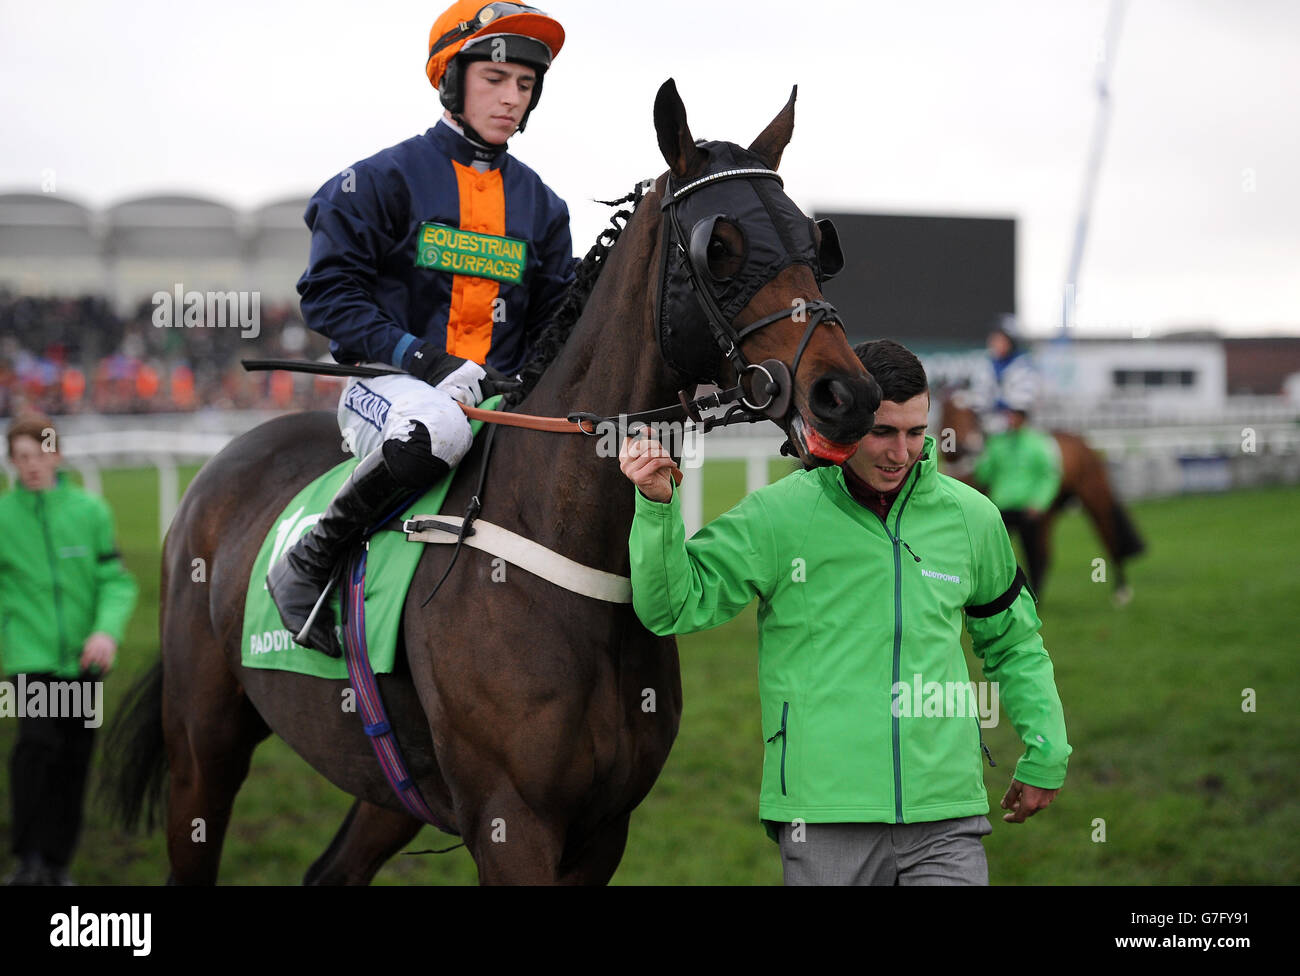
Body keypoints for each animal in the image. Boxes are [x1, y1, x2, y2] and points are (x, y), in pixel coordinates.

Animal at [101, 78, 873, 883]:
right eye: (718, 247)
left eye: (815, 242)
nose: (846, 395)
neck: (567, 553)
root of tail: (218, 469)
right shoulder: (512, 821)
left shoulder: (604, 830)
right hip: (203, 743)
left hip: (385, 781)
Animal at [941, 389, 1144, 603]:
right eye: (952, 411)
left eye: (972, 412)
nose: (968, 445)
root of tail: (1081, 441)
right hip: (1050, 510)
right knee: (1046, 553)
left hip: (1095, 498)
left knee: (1109, 537)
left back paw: (1121, 590)